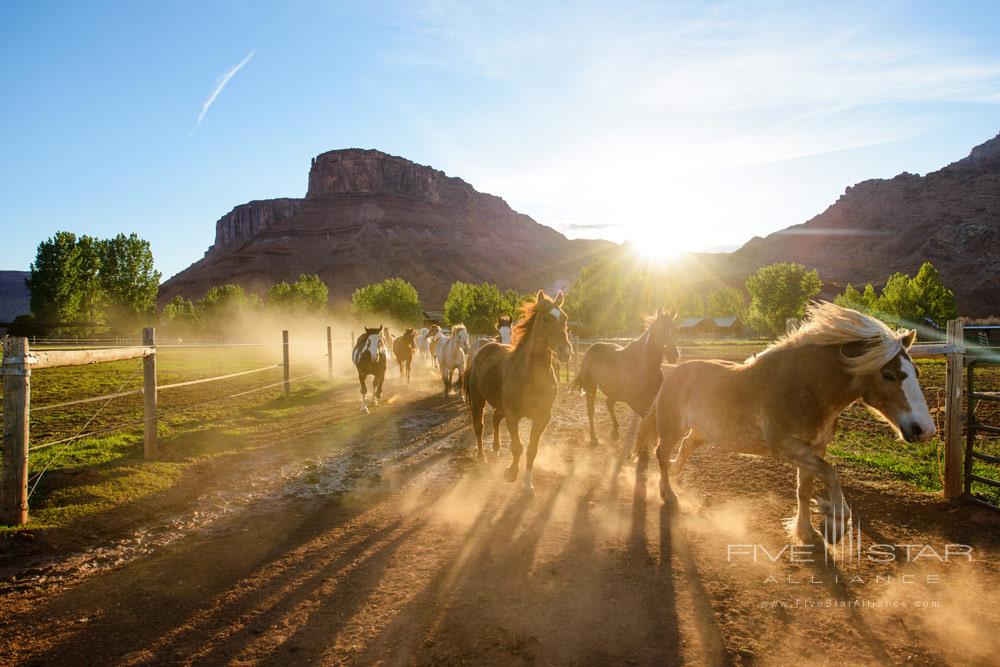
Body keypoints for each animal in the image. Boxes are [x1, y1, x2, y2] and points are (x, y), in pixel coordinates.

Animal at [462, 290, 572, 494]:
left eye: (565, 318)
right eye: (545, 319)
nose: (566, 351)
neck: (530, 374)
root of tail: (482, 349)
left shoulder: (542, 418)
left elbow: (531, 450)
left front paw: (528, 483)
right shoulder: (513, 415)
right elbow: (517, 447)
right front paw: (511, 473)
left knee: (495, 419)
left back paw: (496, 449)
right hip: (479, 400)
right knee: (479, 427)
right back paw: (482, 457)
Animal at [576, 306, 676, 444]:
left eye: (675, 329)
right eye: (660, 330)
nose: (675, 355)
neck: (644, 365)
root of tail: (591, 348)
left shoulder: (652, 399)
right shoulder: (634, 401)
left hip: (614, 391)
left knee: (609, 403)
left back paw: (615, 432)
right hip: (591, 387)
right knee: (591, 410)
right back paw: (594, 438)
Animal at [640, 302, 936, 544]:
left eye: (916, 372)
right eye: (888, 375)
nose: (924, 430)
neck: (805, 388)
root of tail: (673, 372)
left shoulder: (813, 448)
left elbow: (804, 489)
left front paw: (806, 532)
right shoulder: (785, 447)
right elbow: (831, 473)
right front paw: (835, 525)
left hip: (703, 432)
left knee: (684, 448)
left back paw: (675, 478)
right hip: (671, 428)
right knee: (661, 454)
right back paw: (668, 495)